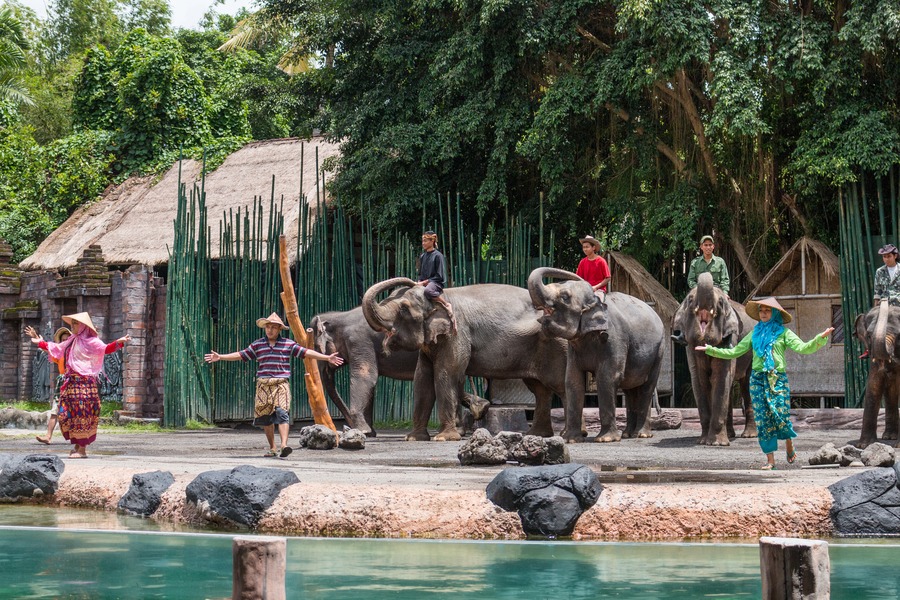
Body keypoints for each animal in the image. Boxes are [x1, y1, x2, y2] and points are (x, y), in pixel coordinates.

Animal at [361, 278, 567, 441]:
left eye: (403, 309)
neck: (442, 299)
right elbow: (422, 379)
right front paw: (413, 438)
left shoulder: (456, 333)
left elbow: (445, 375)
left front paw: (444, 438)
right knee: (540, 390)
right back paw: (538, 434)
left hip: (557, 346)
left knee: (560, 385)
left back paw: (565, 435)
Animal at [527, 267, 664, 443]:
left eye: (565, 297)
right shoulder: (574, 348)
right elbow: (572, 380)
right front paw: (571, 440)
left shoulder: (614, 339)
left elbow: (607, 378)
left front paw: (605, 439)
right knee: (630, 388)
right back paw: (628, 434)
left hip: (659, 350)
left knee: (647, 387)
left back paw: (641, 434)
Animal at [677, 272, 755, 446]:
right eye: (690, 300)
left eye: (720, 302)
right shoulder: (690, 347)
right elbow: (700, 380)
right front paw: (702, 441)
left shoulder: (730, 338)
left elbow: (719, 378)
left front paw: (716, 444)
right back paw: (731, 434)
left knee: (747, 384)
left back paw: (749, 436)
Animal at [855, 300, 900, 448]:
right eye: (869, 335)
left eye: (899, 336)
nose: (884, 300)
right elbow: (873, 387)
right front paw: (864, 446)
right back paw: (890, 437)